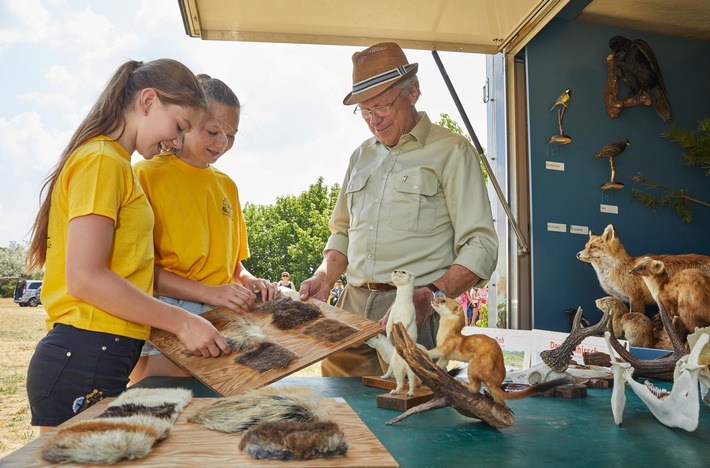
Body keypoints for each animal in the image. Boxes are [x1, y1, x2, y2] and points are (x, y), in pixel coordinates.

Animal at [428, 300, 572, 406]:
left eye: (443, 300)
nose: (433, 299)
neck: (443, 334)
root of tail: (493, 381)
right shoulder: (445, 357)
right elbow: (441, 362)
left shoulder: (447, 345)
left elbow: (435, 351)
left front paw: (425, 350)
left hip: (474, 365)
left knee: (475, 387)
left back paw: (463, 383)